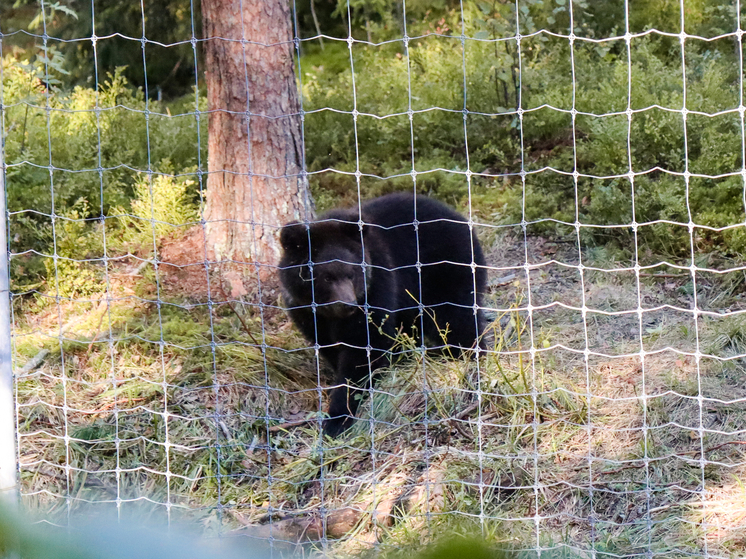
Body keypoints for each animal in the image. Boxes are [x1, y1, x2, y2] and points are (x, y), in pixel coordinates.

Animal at [276, 192, 486, 438]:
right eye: (326, 277)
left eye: (352, 273)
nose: (348, 304)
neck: (331, 314)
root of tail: (461, 220)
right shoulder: (307, 312)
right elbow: (330, 345)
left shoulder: (377, 286)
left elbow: (365, 348)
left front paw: (337, 418)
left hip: (445, 273)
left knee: (456, 319)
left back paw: (468, 356)